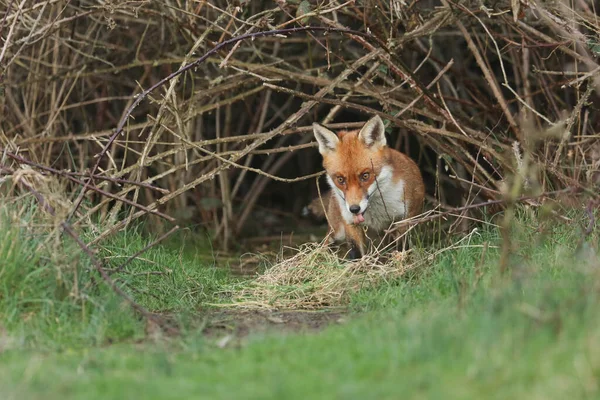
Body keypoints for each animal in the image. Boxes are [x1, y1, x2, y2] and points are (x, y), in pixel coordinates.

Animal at [312, 115, 424, 260]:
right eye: (340, 179)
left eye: (365, 176)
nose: (354, 209)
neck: (377, 214)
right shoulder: (350, 223)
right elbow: (356, 254)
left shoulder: (404, 221)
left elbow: (401, 248)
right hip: (336, 233)